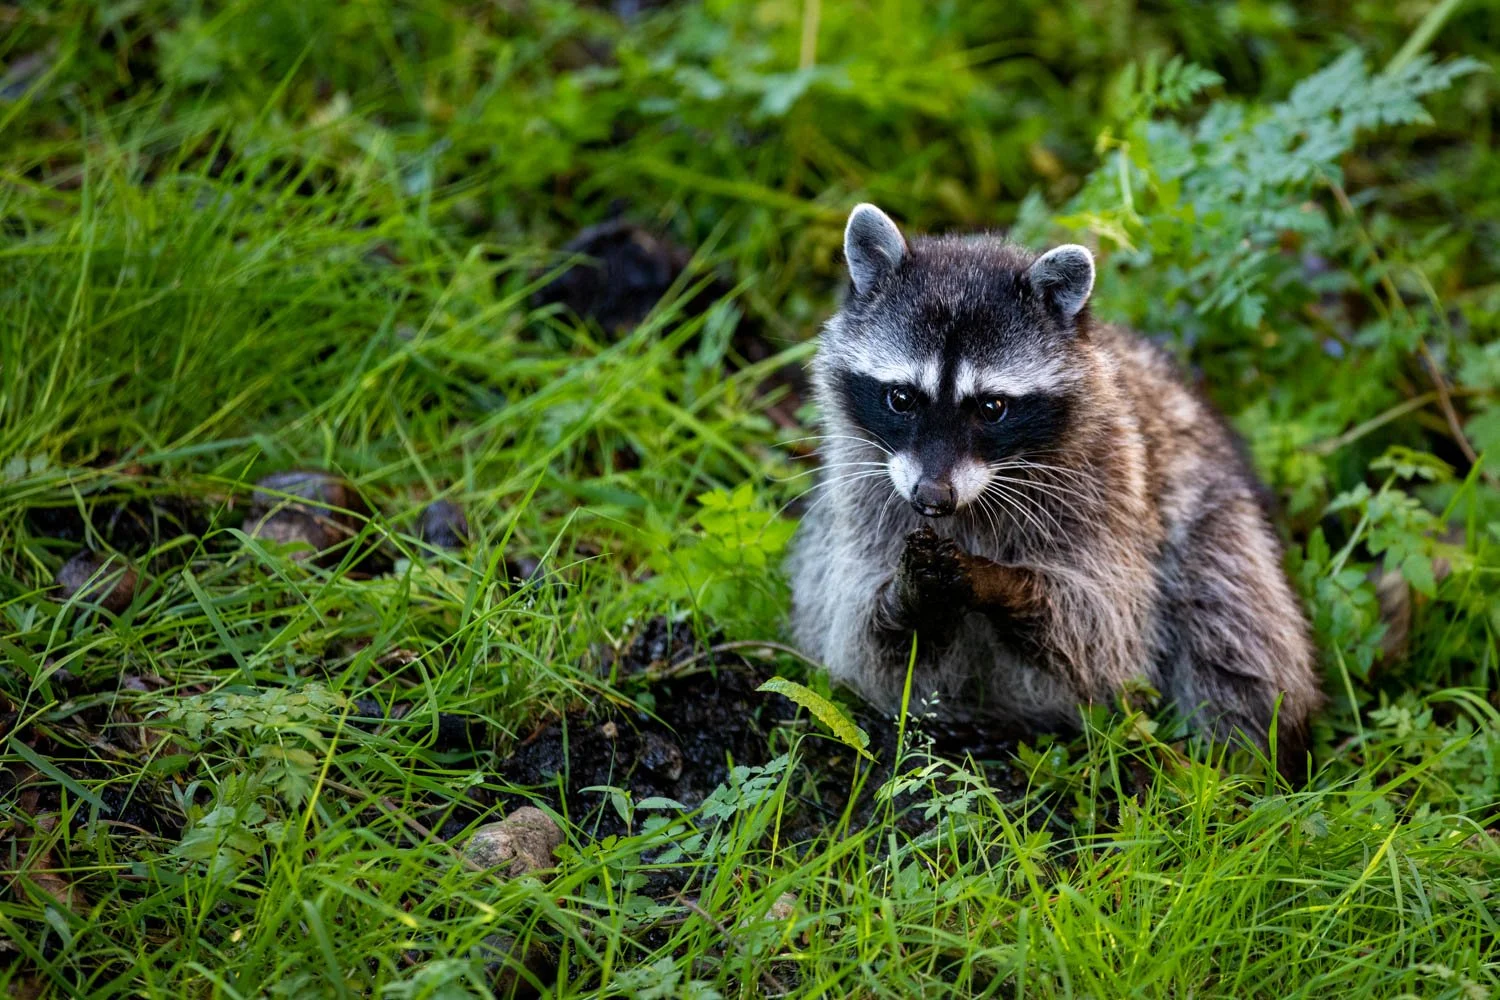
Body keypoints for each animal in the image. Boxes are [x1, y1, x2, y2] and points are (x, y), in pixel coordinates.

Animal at [787, 204, 1323, 775]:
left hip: (1215, 517)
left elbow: (1098, 634)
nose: (932, 496)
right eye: (903, 398)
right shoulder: (862, 498)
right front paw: (905, 595)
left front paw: (1002, 582)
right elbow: (861, 642)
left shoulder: (1106, 493)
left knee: (1232, 624)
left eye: (992, 407)